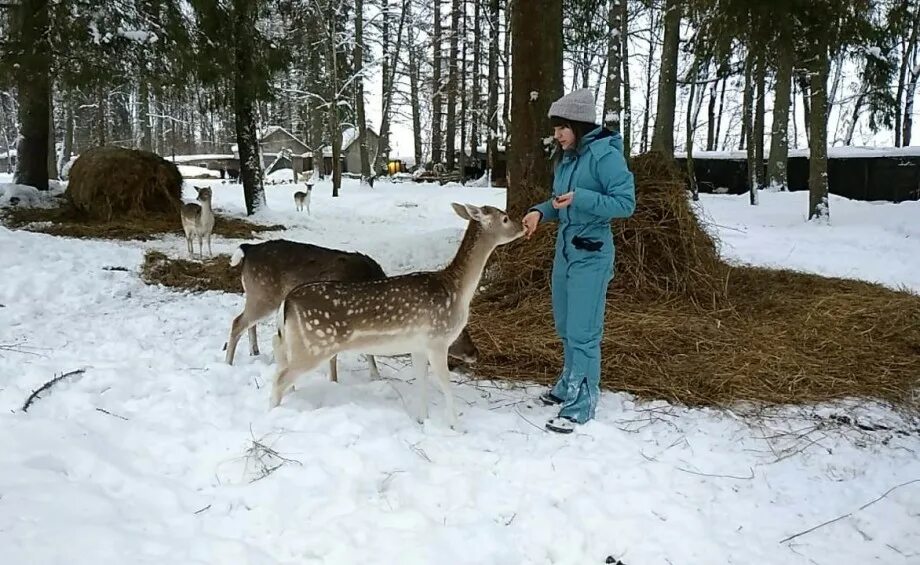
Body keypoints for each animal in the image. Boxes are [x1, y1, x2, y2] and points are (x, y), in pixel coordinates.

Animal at [224, 240, 482, 382]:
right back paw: (228, 362)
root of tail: (247, 250)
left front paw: (375, 376)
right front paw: (336, 380)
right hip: (263, 294)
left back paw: (255, 351)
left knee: (247, 322)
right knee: (237, 321)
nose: (475, 353)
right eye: (458, 329)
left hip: (260, 295)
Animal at [270, 204, 524, 428]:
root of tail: (287, 303)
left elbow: (422, 381)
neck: (456, 291)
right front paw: (457, 427)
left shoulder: (418, 345)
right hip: (315, 344)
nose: (522, 225)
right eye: (504, 218)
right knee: (280, 379)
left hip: (298, 342)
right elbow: (445, 384)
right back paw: (274, 414)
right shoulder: (437, 339)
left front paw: (423, 420)